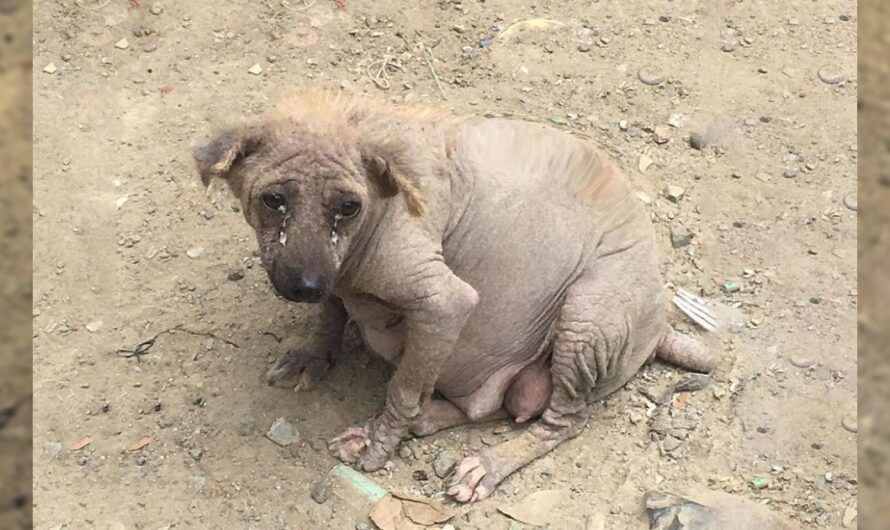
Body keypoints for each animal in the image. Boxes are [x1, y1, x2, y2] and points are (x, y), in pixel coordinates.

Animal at [191, 89, 712, 500]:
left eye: (349, 207)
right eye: (272, 200)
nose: (305, 285)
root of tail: (661, 328)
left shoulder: (445, 302)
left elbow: (402, 387)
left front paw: (378, 443)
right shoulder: (337, 277)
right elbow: (330, 316)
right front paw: (312, 357)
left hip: (588, 318)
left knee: (564, 420)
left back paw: (486, 464)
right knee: (487, 405)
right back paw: (429, 418)